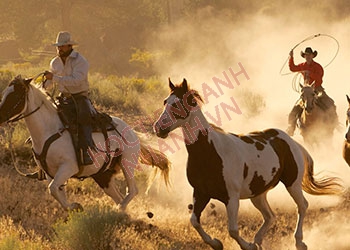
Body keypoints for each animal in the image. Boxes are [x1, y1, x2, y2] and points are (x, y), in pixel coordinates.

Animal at [0, 75, 170, 211]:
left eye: (15, 95)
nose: (0, 116)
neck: (49, 130)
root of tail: (132, 132)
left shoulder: (68, 167)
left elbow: (53, 189)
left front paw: (75, 206)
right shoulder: (50, 172)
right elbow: (56, 191)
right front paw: (73, 207)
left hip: (126, 164)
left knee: (132, 190)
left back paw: (119, 209)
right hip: (103, 175)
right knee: (118, 195)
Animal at [154, 78, 344, 250]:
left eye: (179, 103)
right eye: (165, 102)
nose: (159, 128)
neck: (210, 152)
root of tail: (291, 142)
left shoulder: (231, 198)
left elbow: (233, 230)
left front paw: (246, 246)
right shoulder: (201, 193)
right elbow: (194, 221)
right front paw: (216, 243)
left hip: (292, 184)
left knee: (302, 206)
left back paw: (299, 242)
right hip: (258, 194)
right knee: (270, 216)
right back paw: (258, 240)